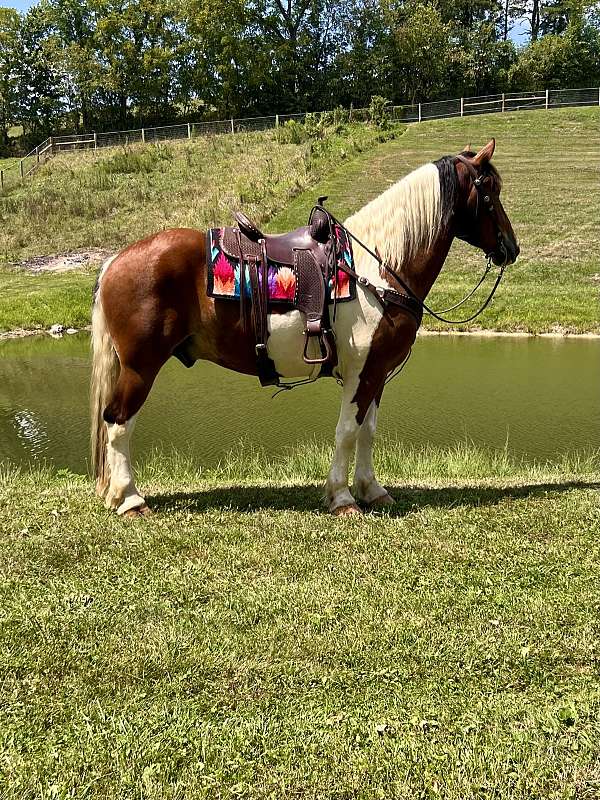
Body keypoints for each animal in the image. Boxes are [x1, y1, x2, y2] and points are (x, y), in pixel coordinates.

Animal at [90, 138, 520, 520]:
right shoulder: (360, 374)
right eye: (490, 191)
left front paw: (372, 490)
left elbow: (368, 431)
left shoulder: (377, 373)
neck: (378, 269)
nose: (511, 249)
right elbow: (347, 431)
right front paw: (342, 498)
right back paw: (130, 500)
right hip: (140, 368)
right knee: (118, 423)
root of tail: (115, 261)